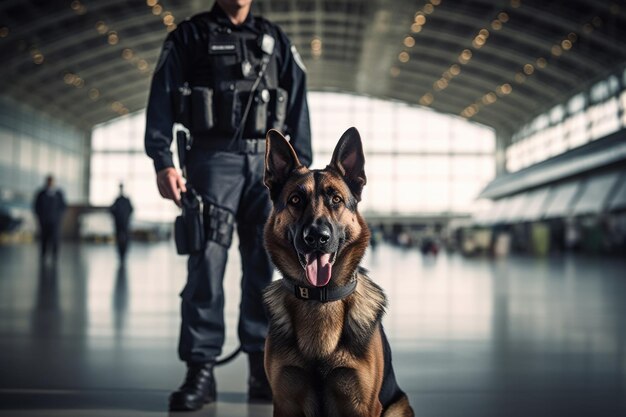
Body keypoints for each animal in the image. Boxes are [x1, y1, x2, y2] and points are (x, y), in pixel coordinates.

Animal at [260, 127, 412, 416]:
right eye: (295, 199)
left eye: (336, 199)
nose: (317, 237)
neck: (320, 299)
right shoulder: (284, 402)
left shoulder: (363, 404)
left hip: (398, 407)